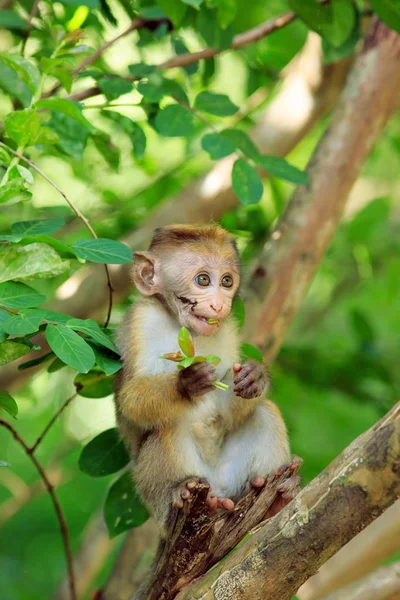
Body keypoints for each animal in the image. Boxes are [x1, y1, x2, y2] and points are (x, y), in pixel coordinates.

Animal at [114, 224, 298, 528]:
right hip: (158, 492)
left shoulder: (228, 330)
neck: (180, 324)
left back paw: (275, 498)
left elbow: (228, 412)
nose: (219, 305)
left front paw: (255, 377)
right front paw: (187, 383)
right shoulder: (140, 321)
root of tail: (218, 492)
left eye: (226, 281)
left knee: (265, 412)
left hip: (232, 479)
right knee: (166, 425)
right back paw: (179, 489)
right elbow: (131, 399)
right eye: (202, 280)